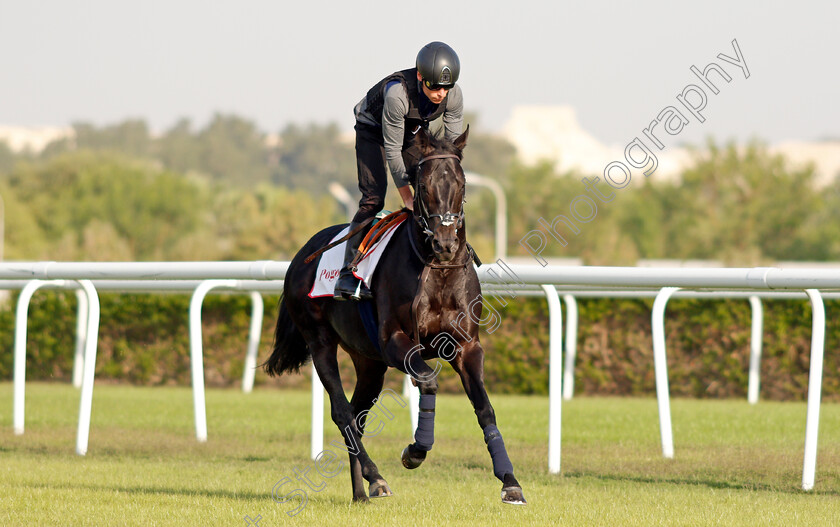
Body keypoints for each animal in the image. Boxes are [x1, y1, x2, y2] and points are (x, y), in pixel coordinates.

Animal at [262, 125, 524, 508]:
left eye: (461, 183)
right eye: (424, 185)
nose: (446, 243)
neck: (438, 270)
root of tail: (301, 255)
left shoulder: (466, 346)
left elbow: (484, 407)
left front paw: (510, 481)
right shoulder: (395, 342)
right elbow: (427, 380)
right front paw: (415, 451)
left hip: (368, 361)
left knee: (357, 416)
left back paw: (361, 491)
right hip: (320, 341)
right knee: (342, 412)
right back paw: (375, 477)